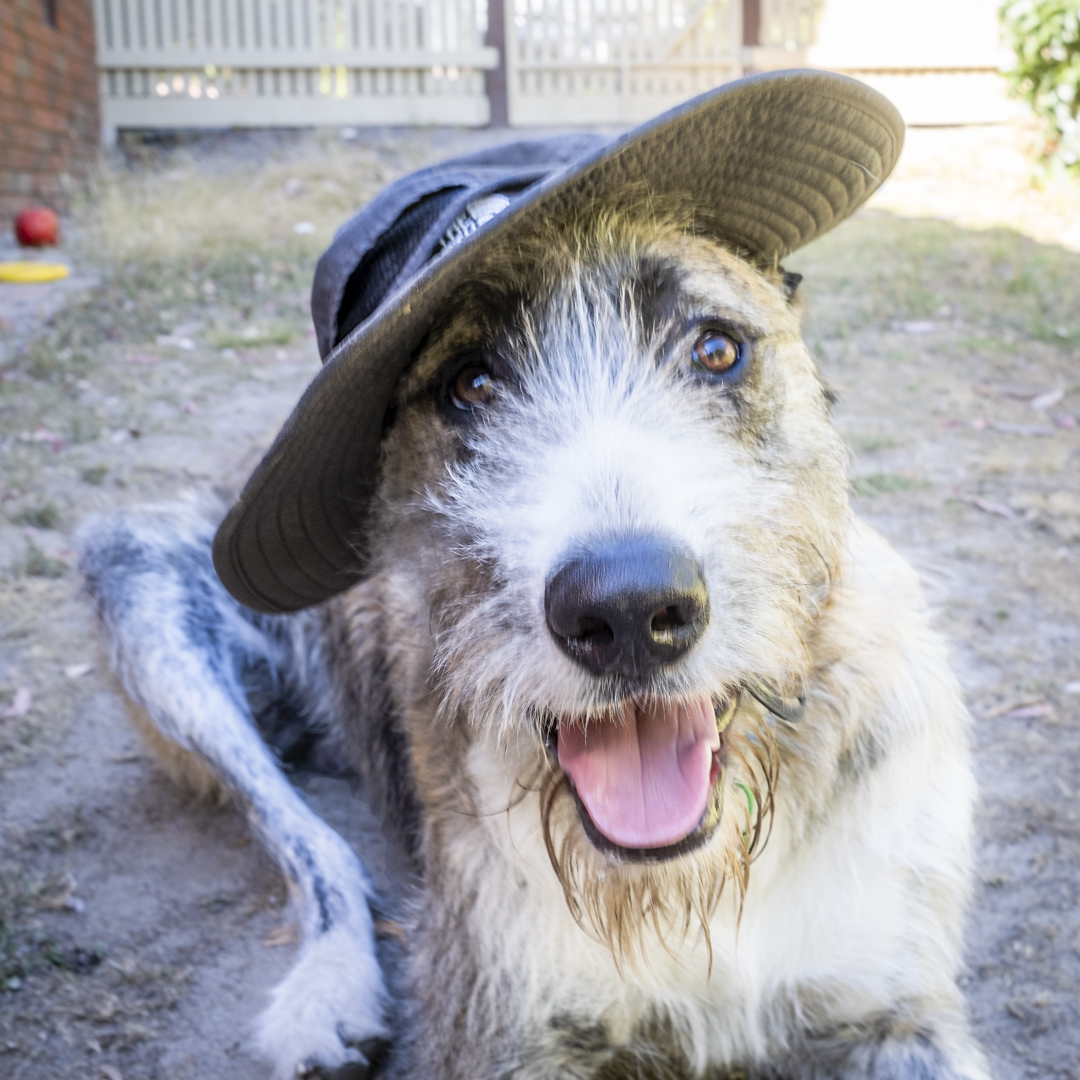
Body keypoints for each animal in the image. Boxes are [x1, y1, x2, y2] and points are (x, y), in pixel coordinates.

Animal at [76, 71, 989, 1075]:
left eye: (715, 348)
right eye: (469, 383)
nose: (629, 612)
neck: (683, 888)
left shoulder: (896, 1004)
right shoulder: (504, 1024)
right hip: (142, 588)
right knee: (311, 841)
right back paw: (327, 990)